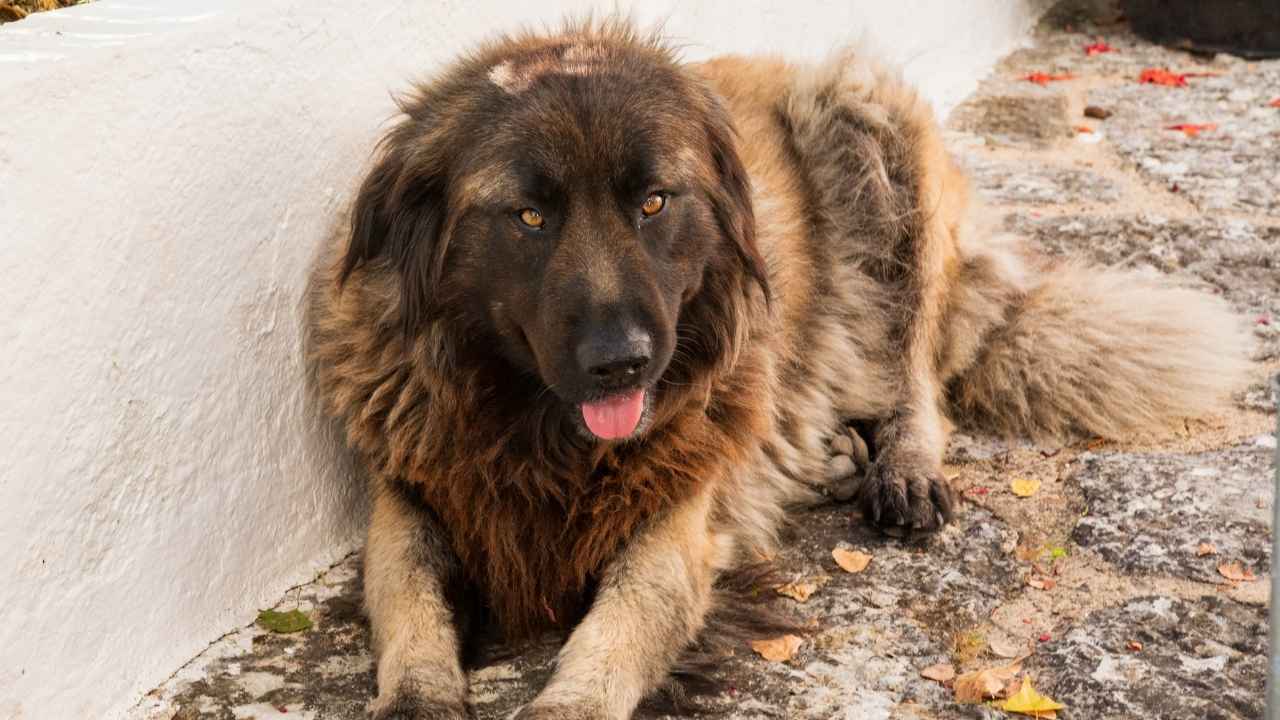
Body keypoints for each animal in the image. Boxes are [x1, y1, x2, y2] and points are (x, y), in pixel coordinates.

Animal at [302, 19, 1249, 712]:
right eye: (530, 217)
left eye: (654, 203)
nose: (623, 366)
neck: (540, 432)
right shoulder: (415, 496)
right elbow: (410, 610)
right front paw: (419, 696)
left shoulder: (673, 518)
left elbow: (616, 632)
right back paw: (828, 457)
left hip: (870, 126)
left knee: (915, 377)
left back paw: (901, 467)